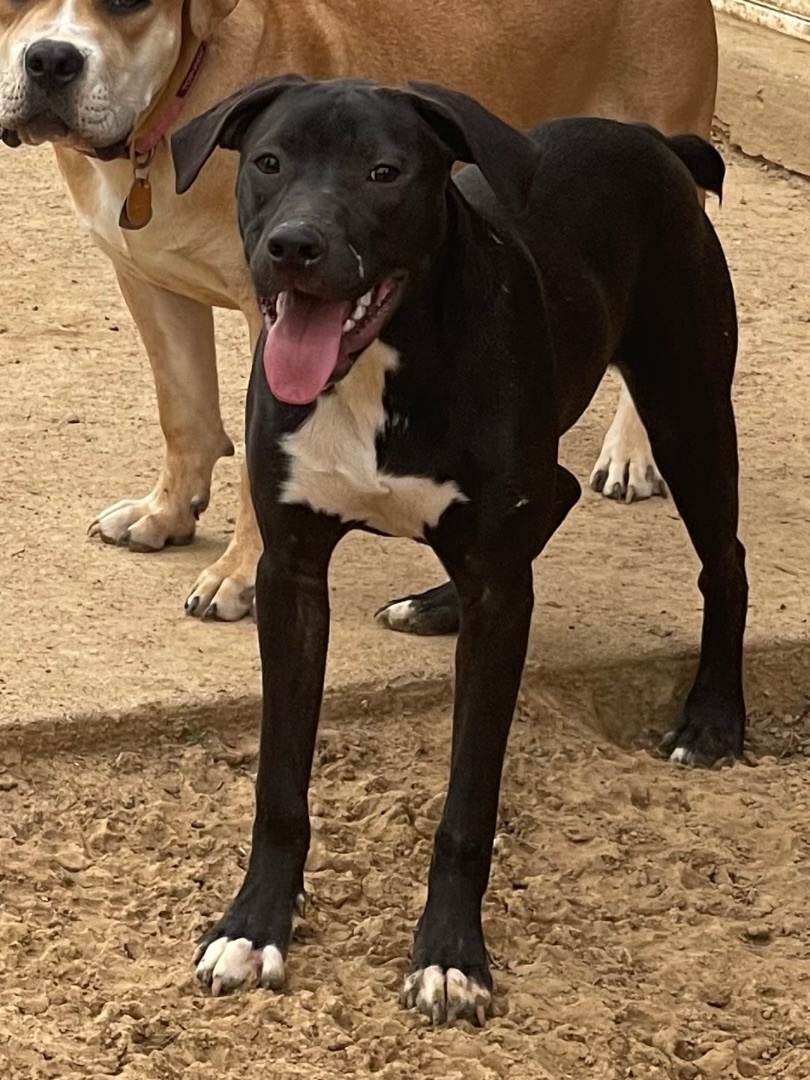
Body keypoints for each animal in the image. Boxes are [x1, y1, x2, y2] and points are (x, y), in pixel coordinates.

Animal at [0, 0, 721, 622]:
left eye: (127, 3)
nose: (51, 61)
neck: (180, 99)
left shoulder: (275, 320)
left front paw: (239, 572)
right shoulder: (150, 284)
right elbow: (184, 415)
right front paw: (168, 512)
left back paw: (631, 451)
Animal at [171, 76, 747, 1019]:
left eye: (385, 171)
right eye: (268, 161)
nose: (294, 246)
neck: (378, 369)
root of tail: (654, 140)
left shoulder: (500, 605)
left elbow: (468, 802)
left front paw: (449, 955)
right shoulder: (292, 576)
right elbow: (279, 783)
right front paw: (254, 925)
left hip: (688, 402)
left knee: (724, 564)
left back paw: (714, 717)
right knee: (554, 493)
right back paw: (434, 602)